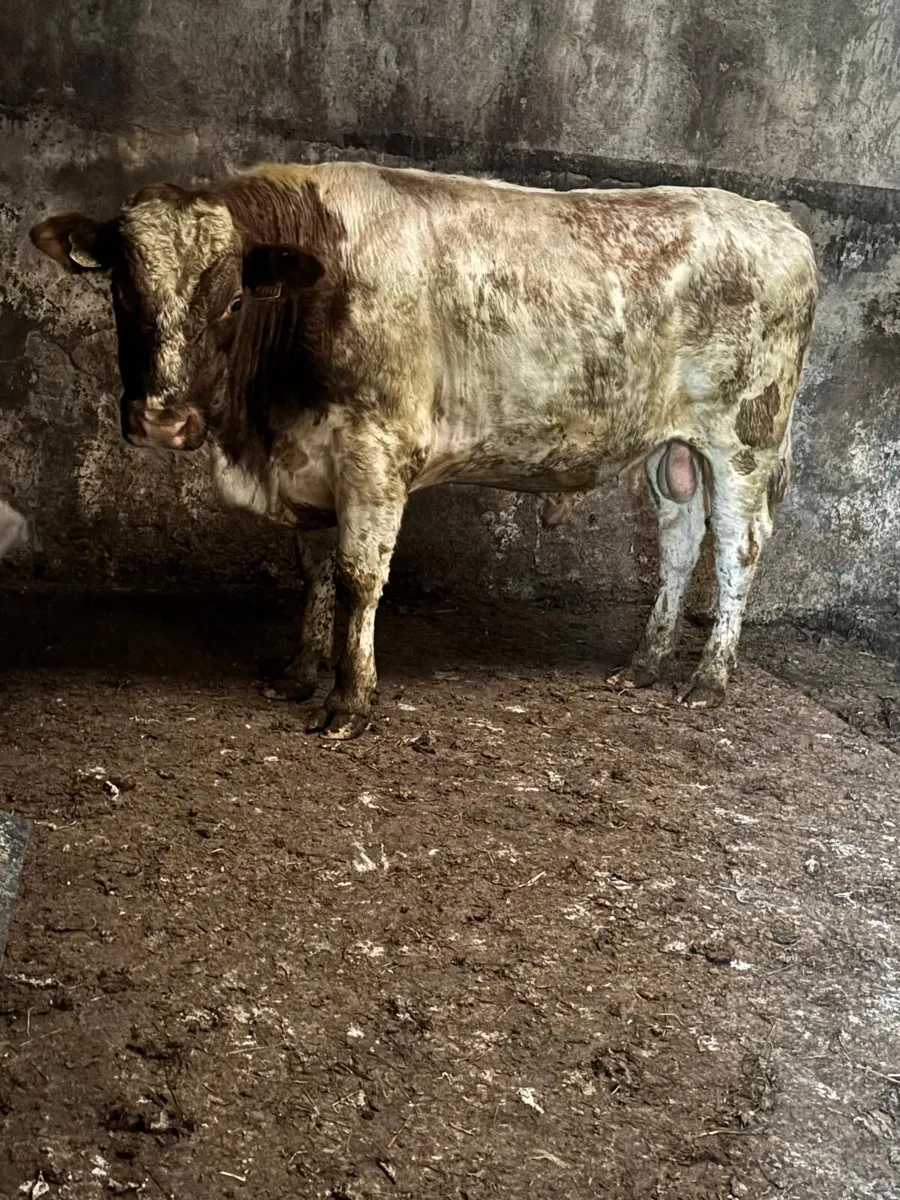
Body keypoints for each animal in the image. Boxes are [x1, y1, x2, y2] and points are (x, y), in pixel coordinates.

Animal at [30, 161, 817, 738]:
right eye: (121, 294)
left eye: (232, 302)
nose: (162, 421)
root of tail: (776, 220)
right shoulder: (310, 463)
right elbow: (313, 575)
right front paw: (299, 674)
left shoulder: (376, 454)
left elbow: (358, 579)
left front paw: (349, 700)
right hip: (671, 452)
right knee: (680, 542)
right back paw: (646, 663)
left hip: (744, 440)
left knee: (736, 547)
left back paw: (708, 680)